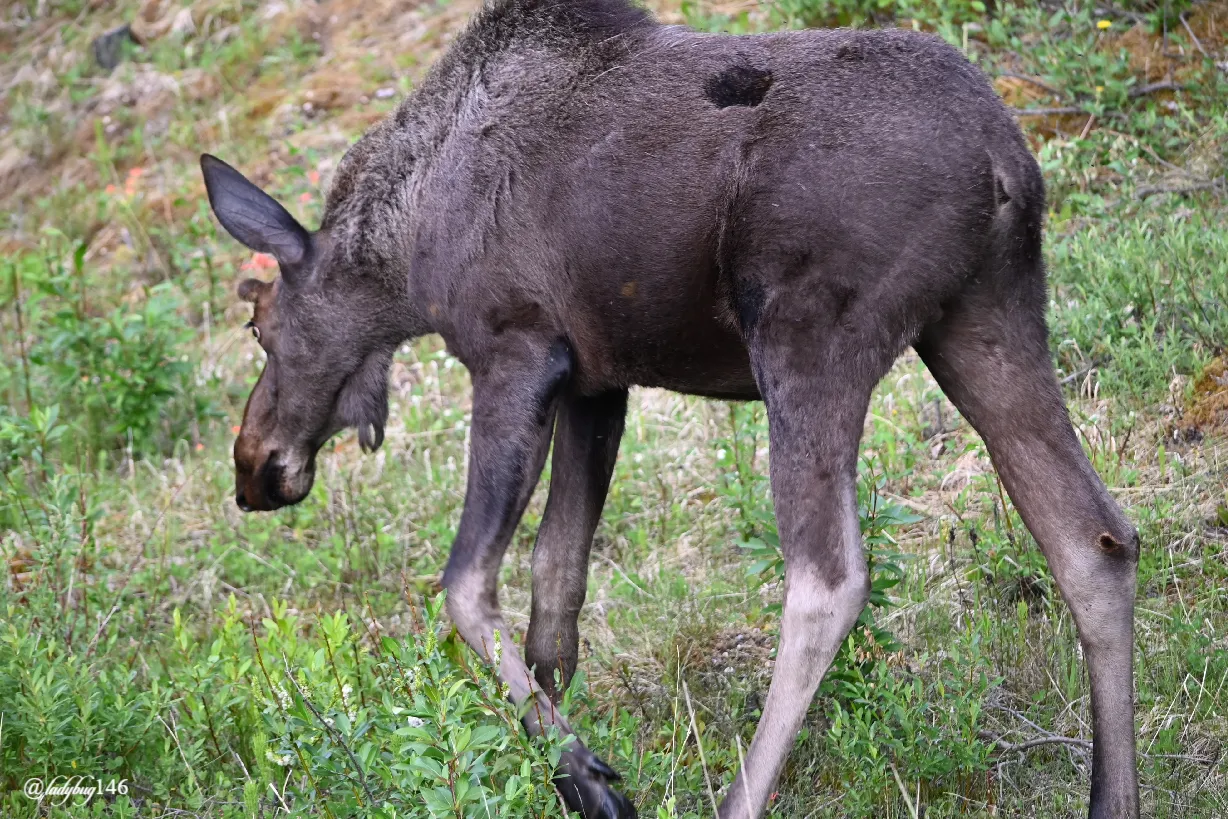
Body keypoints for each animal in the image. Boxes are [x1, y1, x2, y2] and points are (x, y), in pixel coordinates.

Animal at [203, 1, 1139, 819]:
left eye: (258, 326)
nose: (252, 467)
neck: (404, 258)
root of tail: (1003, 159)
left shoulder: (516, 351)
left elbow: (466, 586)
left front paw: (590, 777)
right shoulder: (596, 382)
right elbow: (558, 591)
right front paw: (558, 775)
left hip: (809, 340)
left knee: (827, 578)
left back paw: (738, 797)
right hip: (984, 316)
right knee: (1093, 537)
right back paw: (1113, 796)